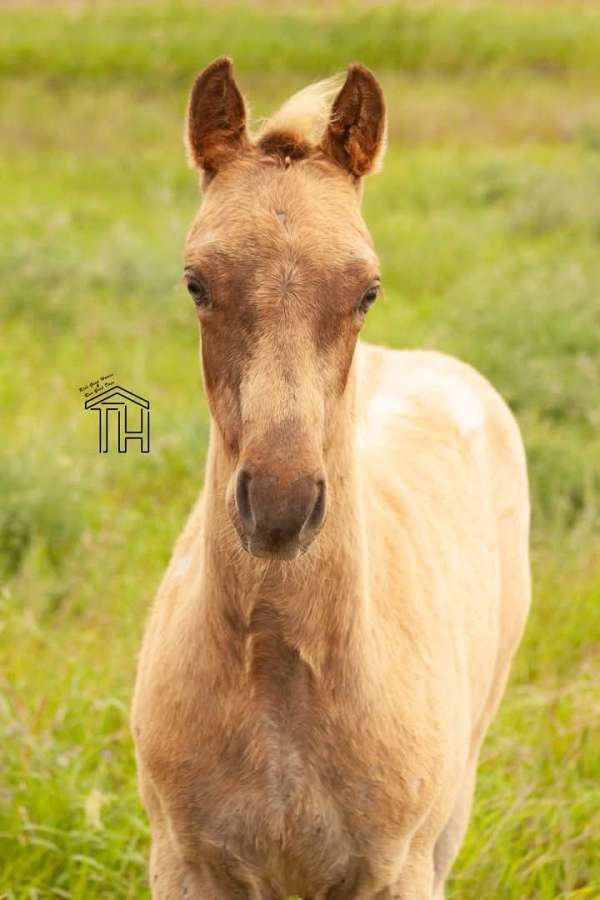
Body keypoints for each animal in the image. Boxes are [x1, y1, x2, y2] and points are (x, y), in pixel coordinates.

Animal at [131, 58, 531, 900]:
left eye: (367, 289)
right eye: (195, 282)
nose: (281, 504)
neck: (282, 680)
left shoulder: (398, 872)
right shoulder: (184, 865)